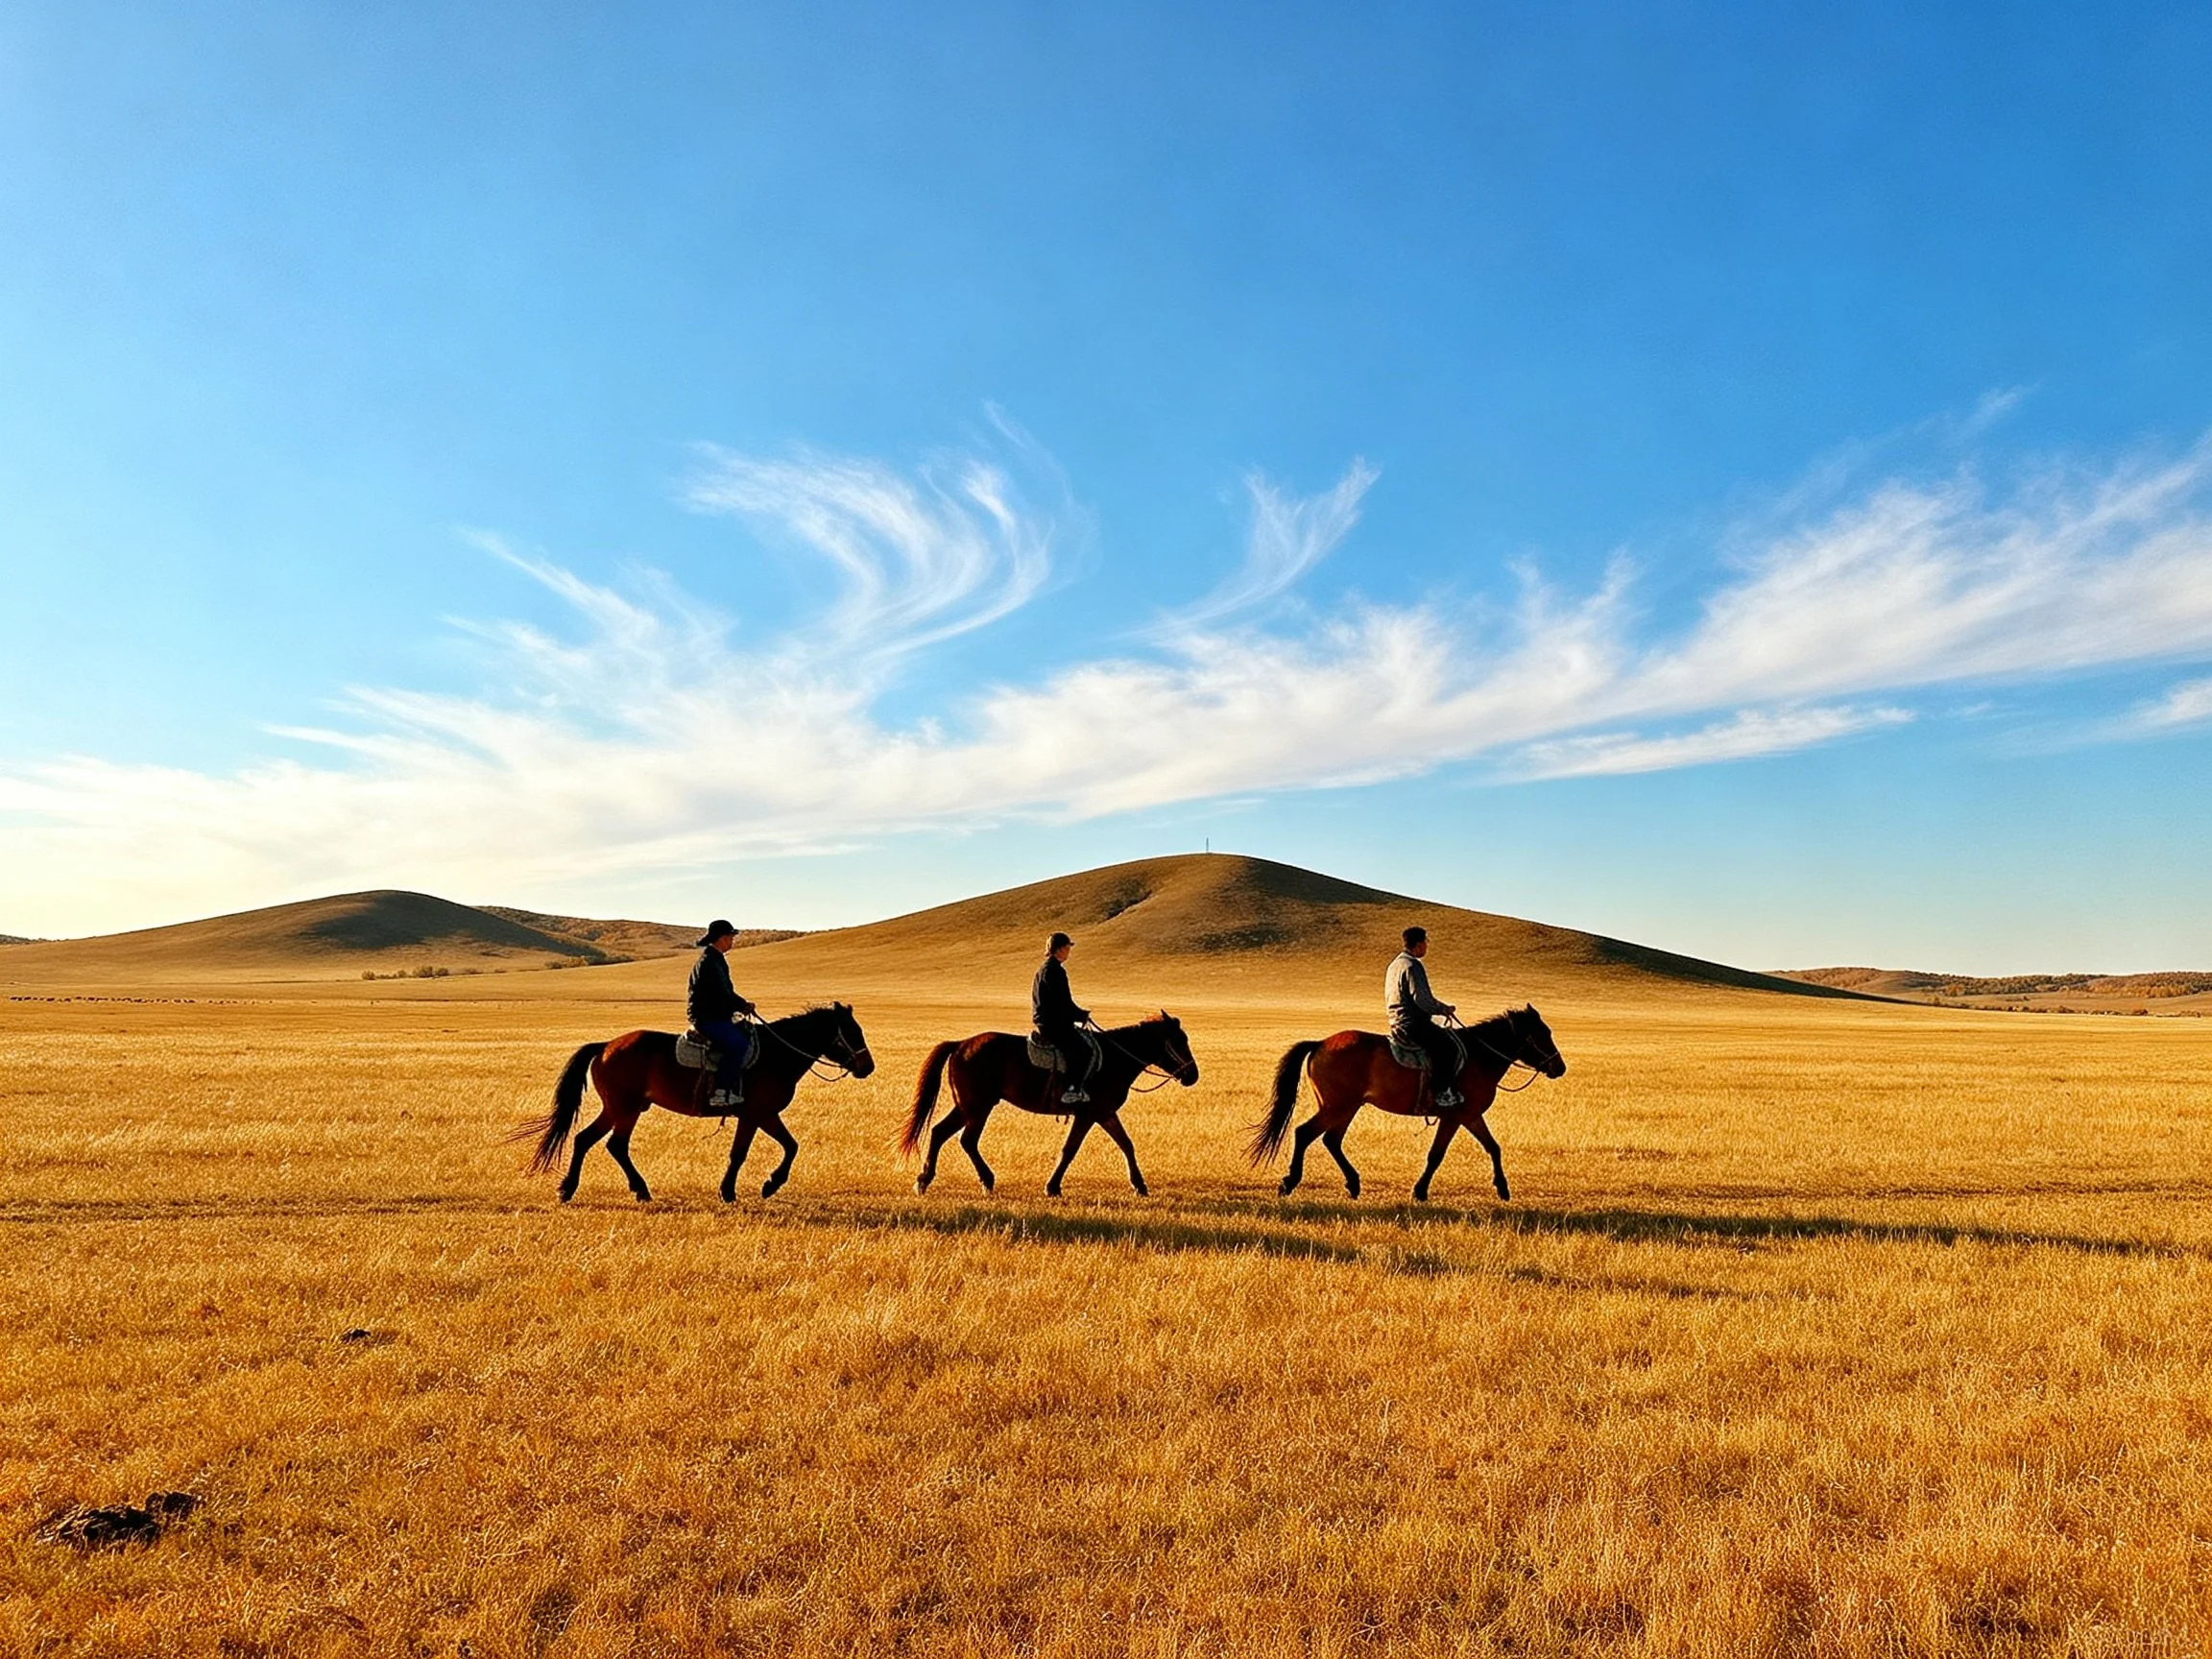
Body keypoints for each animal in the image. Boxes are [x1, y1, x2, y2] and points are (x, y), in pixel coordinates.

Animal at [516, 1004, 874, 1203]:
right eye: (852, 1032)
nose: (867, 1066)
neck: (778, 1054)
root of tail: (606, 1046)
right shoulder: (757, 1114)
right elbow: (743, 1153)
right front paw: (741, 1190)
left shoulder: (765, 1114)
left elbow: (791, 1145)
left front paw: (768, 1185)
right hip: (625, 1109)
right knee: (611, 1144)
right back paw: (623, 1189)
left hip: (618, 1109)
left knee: (591, 1141)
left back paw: (586, 1189)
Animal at [901, 1014, 1199, 1197]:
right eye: (1179, 1041)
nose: (1192, 1075)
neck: (1116, 1058)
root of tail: (961, 1044)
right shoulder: (1089, 1114)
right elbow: (1070, 1149)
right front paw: (1053, 1187)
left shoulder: (1105, 1112)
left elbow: (1126, 1144)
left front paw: (1139, 1185)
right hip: (978, 1106)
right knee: (967, 1140)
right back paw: (985, 1180)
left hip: (968, 1106)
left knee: (941, 1132)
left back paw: (924, 1180)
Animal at [1249, 1005, 1565, 1203]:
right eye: (1543, 1034)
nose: (1559, 1067)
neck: (1479, 1056)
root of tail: (1320, 1043)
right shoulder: (1455, 1117)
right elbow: (1436, 1155)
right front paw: (1420, 1191)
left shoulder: (1471, 1115)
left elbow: (1493, 1147)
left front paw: (1503, 1189)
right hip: (1337, 1106)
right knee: (1305, 1133)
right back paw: (1290, 1182)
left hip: (1348, 1107)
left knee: (1331, 1140)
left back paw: (1353, 1183)